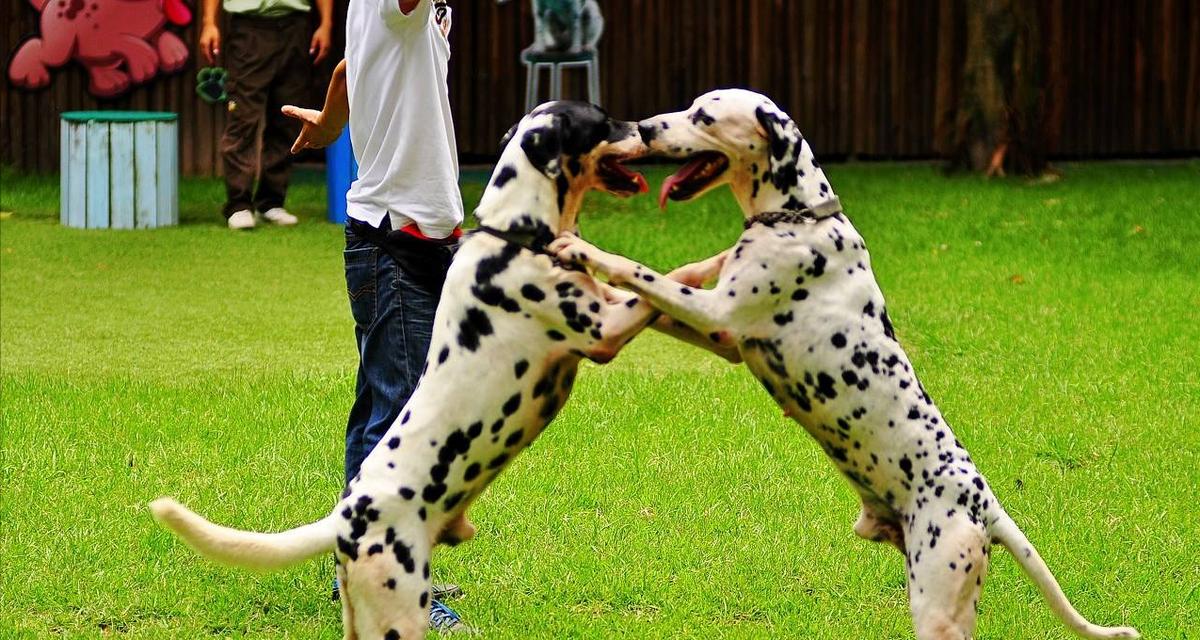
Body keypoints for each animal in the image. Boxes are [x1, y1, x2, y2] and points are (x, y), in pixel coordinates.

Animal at [148, 100, 729, 638]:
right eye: (602, 122)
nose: (648, 129)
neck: (514, 236)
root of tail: (344, 519)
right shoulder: (604, 327)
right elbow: (665, 278)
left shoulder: (607, 302)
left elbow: (657, 282)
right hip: (399, 612)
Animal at [549, 88, 1137, 638]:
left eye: (704, 116)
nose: (646, 128)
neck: (799, 218)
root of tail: (984, 504)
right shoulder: (722, 335)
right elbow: (642, 294)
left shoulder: (717, 313)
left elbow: (638, 270)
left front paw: (580, 249)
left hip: (938, 609)